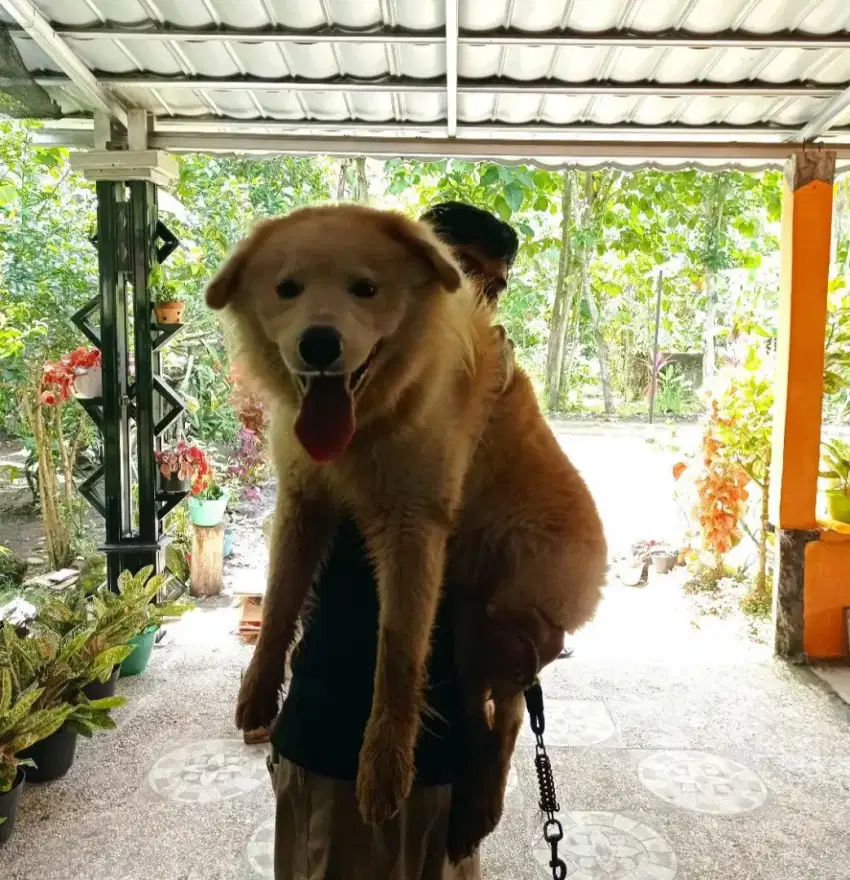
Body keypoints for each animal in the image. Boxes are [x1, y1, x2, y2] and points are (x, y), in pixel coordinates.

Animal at [205, 205, 604, 844]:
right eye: (287, 289)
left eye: (365, 289)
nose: (319, 344)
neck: (372, 419)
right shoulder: (302, 503)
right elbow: (281, 603)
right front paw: (259, 692)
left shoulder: (413, 527)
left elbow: (396, 655)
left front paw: (383, 772)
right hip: (470, 626)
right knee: (480, 714)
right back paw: (468, 814)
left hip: (500, 618)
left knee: (511, 715)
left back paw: (481, 806)